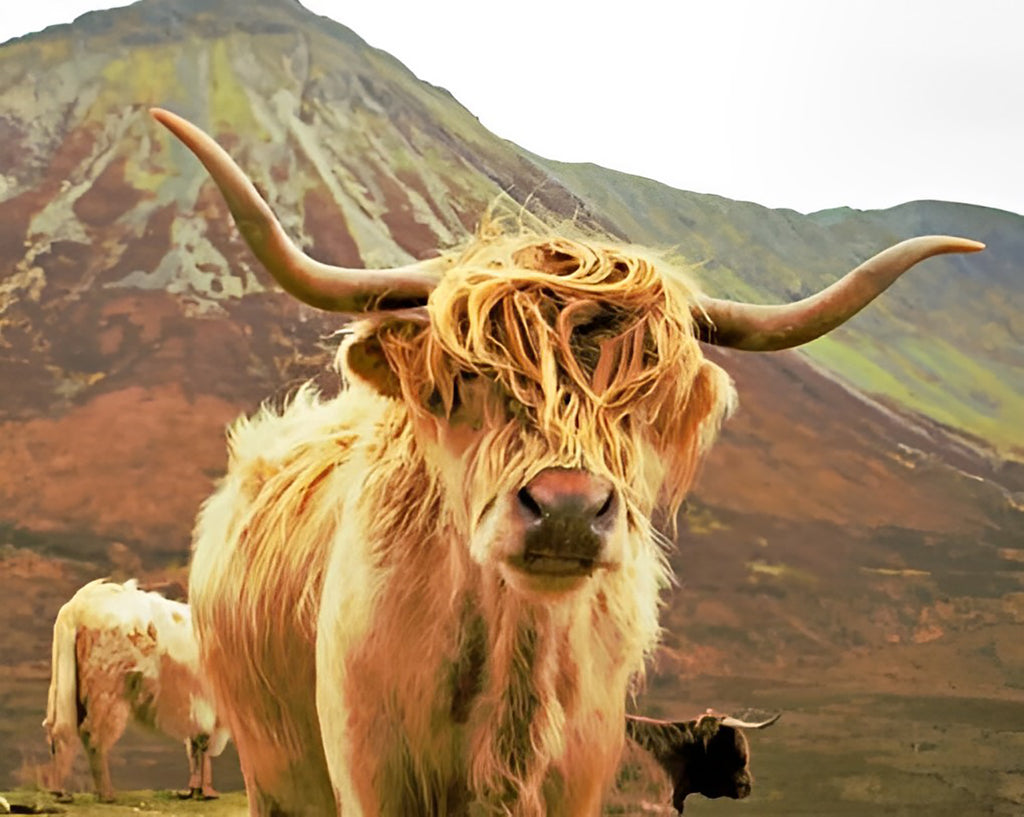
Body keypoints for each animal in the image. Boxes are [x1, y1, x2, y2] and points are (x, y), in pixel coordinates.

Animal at [42, 577, 230, 802]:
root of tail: (77, 606)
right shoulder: (206, 706)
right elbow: (202, 744)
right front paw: (204, 790)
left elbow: (196, 745)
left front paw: (196, 790)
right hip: (106, 690)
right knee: (92, 735)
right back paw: (106, 793)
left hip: (68, 690)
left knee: (59, 732)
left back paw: (59, 790)